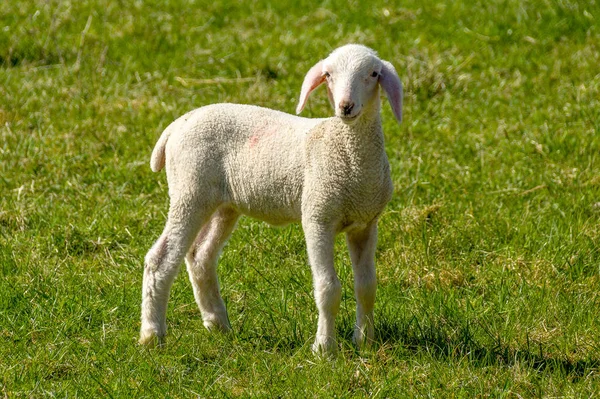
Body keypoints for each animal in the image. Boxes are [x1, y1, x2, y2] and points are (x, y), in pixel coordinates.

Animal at [139, 44, 404, 356]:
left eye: (373, 74)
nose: (346, 107)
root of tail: (177, 124)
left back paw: (218, 324)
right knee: (160, 260)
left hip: (222, 204)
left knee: (200, 256)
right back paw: (152, 334)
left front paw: (365, 342)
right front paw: (324, 348)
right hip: (188, 191)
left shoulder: (365, 223)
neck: (345, 150)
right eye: (328, 75)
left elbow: (367, 287)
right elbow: (328, 288)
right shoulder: (317, 216)